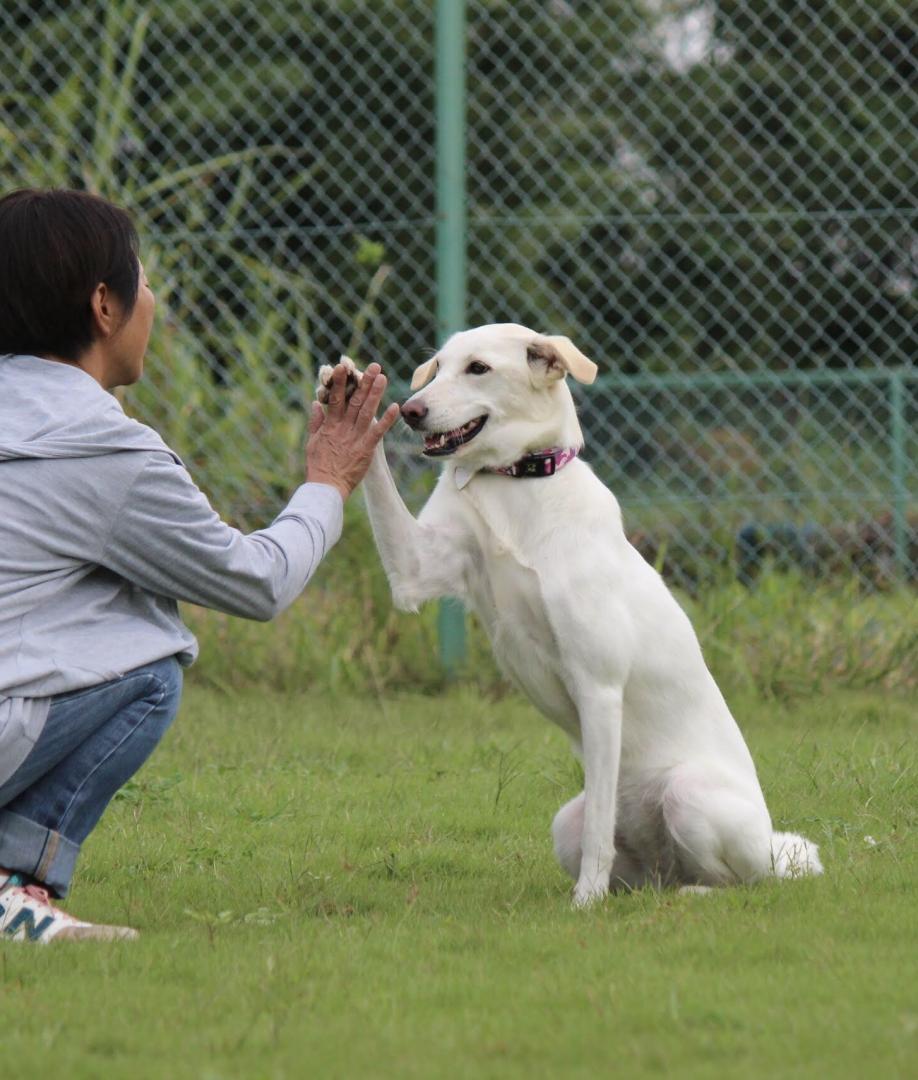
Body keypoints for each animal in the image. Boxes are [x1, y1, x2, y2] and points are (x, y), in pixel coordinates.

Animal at [317, 324, 820, 907]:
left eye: (478, 368)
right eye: (438, 366)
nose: (414, 411)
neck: (518, 483)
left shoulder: (598, 689)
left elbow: (602, 824)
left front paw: (585, 903)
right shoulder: (413, 572)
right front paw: (349, 399)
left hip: (690, 795)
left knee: (742, 883)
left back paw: (690, 894)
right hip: (566, 826)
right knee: (648, 875)